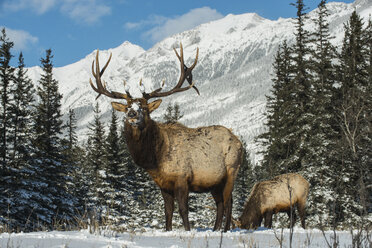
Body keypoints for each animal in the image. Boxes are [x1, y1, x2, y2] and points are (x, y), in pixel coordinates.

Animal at [88, 43, 243, 232]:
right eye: (127, 108)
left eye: (144, 108)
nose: (132, 114)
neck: (155, 159)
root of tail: (239, 141)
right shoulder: (163, 184)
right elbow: (167, 211)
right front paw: (168, 230)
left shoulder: (182, 178)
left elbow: (183, 210)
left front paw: (188, 230)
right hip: (214, 181)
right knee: (221, 203)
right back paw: (215, 229)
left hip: (231, 170)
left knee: (229, 202)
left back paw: (225, 229)